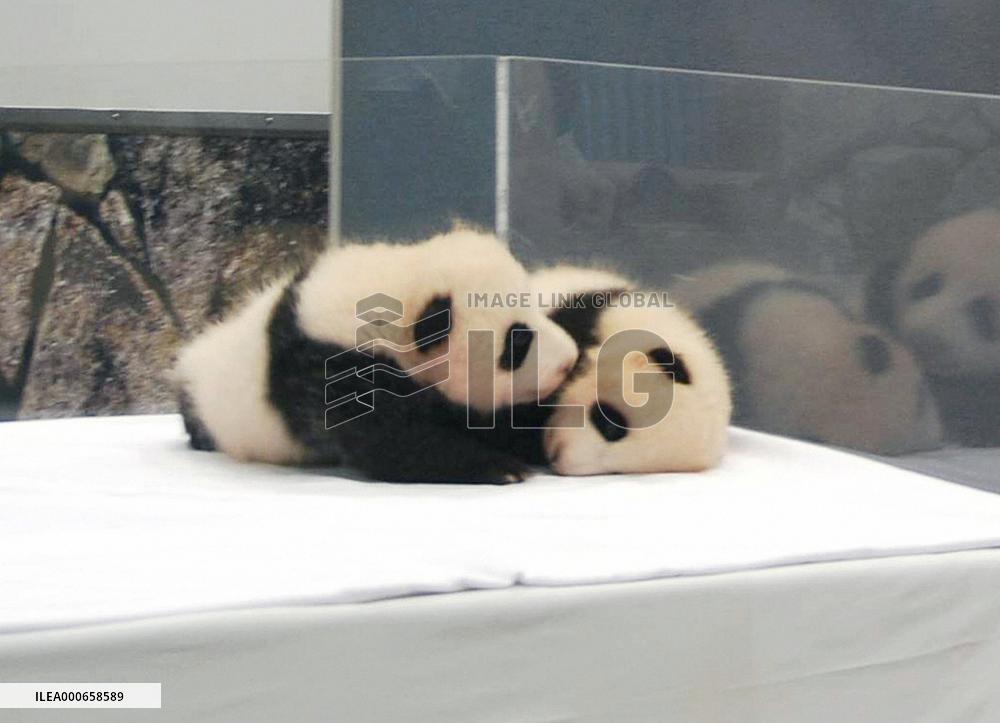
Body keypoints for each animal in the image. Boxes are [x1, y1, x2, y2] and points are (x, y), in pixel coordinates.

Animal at [174, 228, 580, 484]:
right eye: (517, 342)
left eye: (537, 309)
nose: (568, 361)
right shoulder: (333, 369)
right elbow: (391, 439)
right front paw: (500, 467)